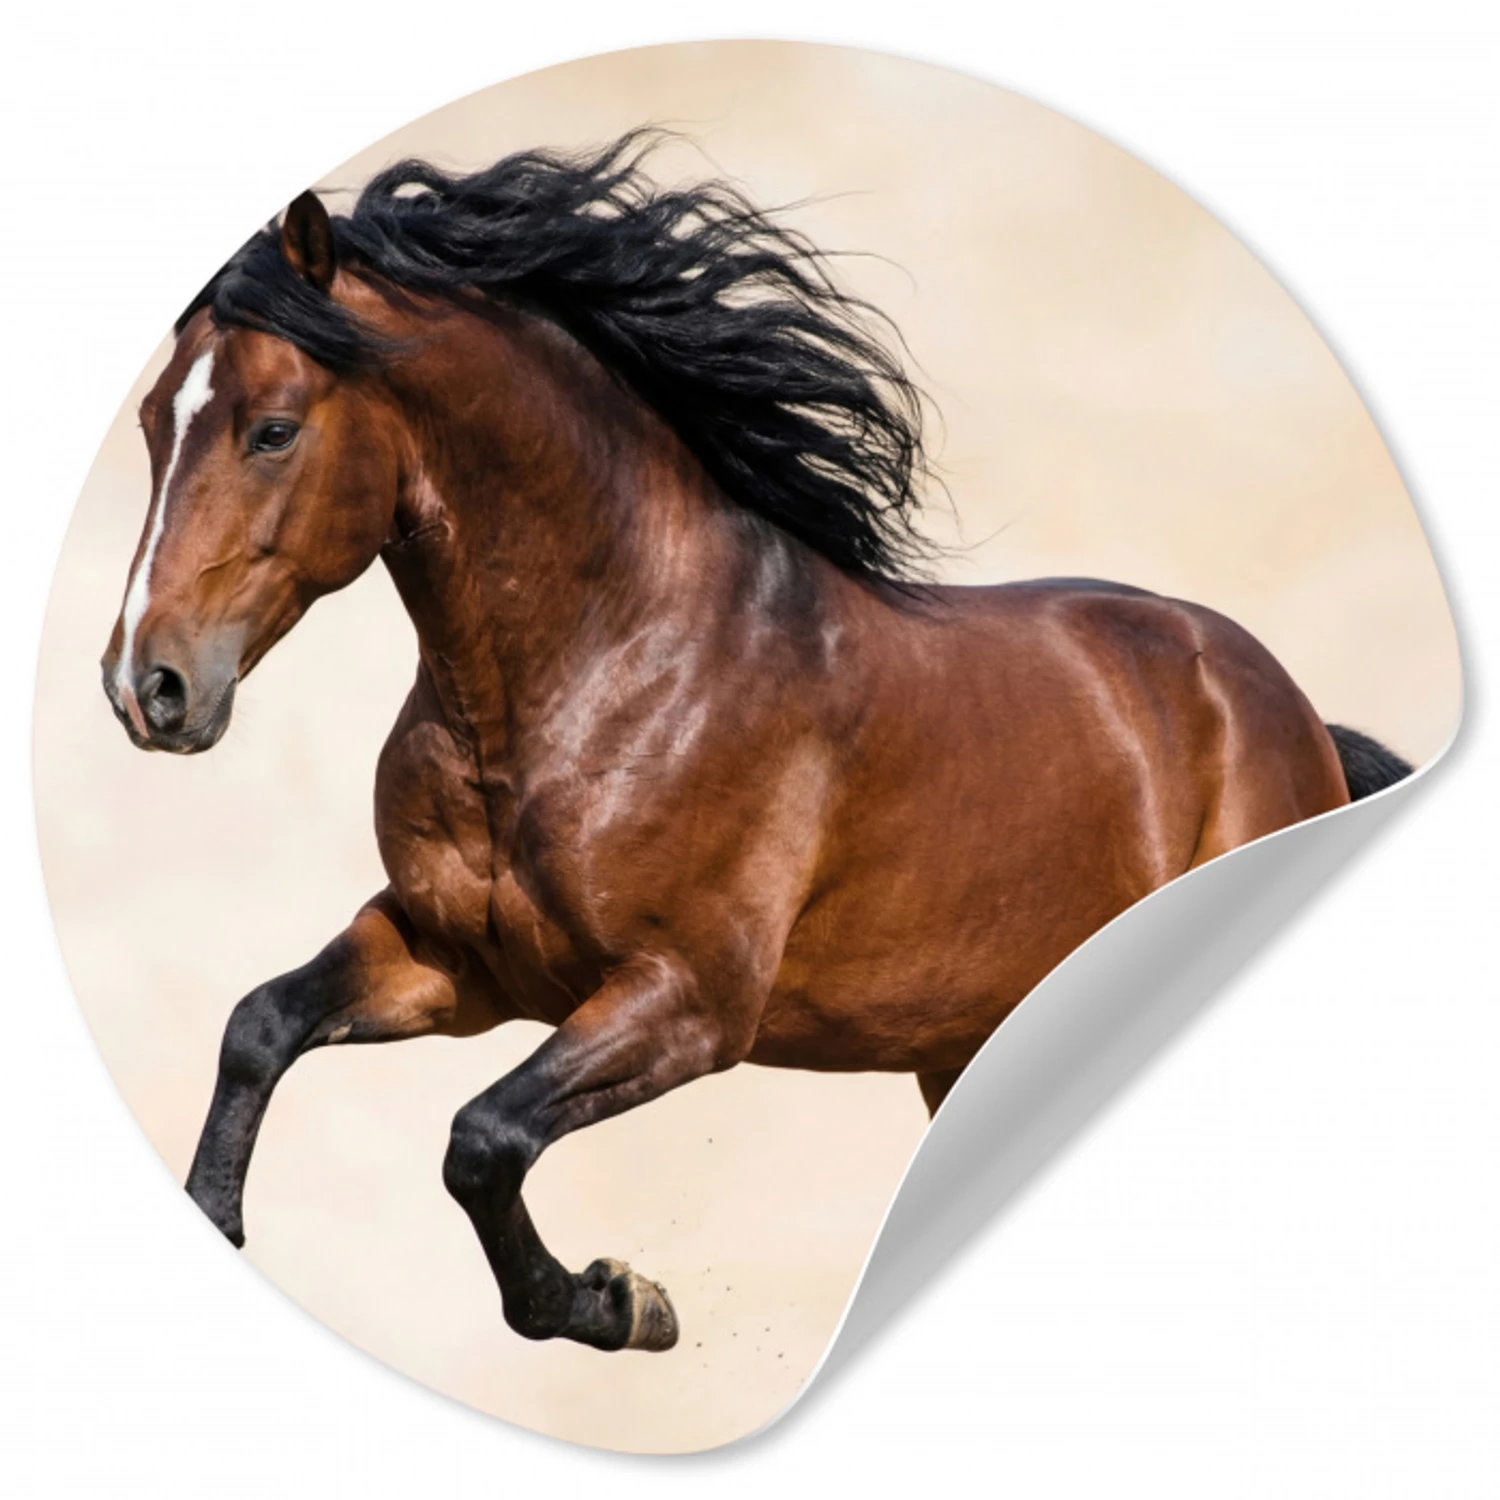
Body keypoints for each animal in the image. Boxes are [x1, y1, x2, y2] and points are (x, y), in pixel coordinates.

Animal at [100, 133, 1412, 1354]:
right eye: (157, 421)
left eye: (273, 430)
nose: (145, 687)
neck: (601, 670)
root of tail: (1286, 709)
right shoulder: (454, 961)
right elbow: (260, 1027)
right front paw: (217, 1220)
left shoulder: (688, 1002)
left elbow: (482, 1141)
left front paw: (620, 1305)